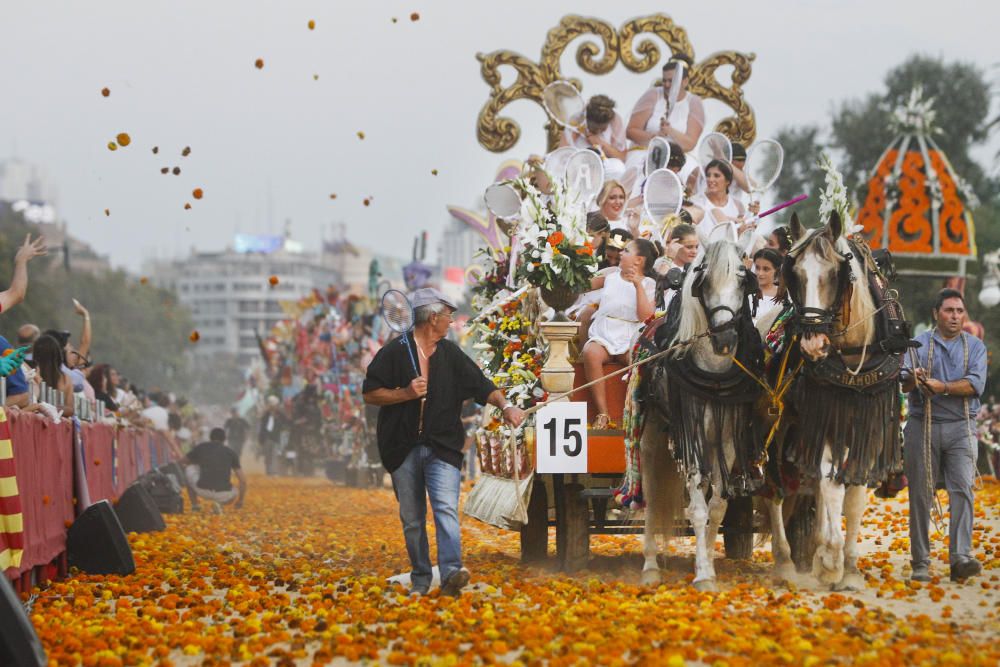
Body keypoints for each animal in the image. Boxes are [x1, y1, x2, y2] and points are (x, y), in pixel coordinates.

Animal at [640, 235, 764, 588]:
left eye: (743, 280)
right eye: (704, 282)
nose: (724, 338)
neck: (715, 374)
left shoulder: (727, 439)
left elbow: (718, 506)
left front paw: (707, 563)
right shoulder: (691, 435)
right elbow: (697, 510)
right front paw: (703, 575)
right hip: (651, 434)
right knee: (651, 493)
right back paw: (650, 566)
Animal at [764, 213, 908, 588]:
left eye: (835, 274)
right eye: (795, 274)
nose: (813, 344)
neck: (854, 355)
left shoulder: (868, 423)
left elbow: (854, 496)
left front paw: (850, 568)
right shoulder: (826, 417)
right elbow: (831, 484)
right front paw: (829, 558)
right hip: (778, 424)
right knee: (775, 488)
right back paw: (785, 561)